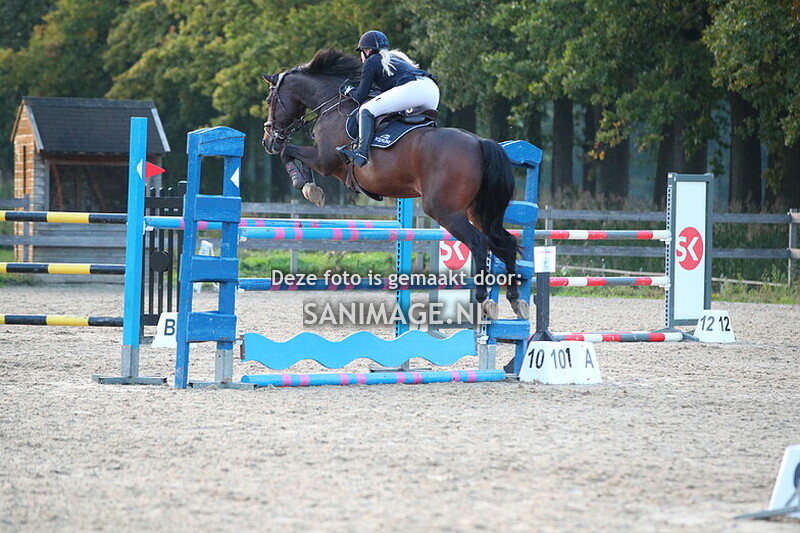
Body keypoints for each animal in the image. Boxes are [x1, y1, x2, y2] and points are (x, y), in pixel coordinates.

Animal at [261, 48, 526, 320]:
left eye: (270, 100)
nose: (267, 140)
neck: (332, 106)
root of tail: (481, 142)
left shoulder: (324, 160)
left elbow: (288, 152)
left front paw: (305, 185)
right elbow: (290, 154)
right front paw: (309, 186)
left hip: (445, 210)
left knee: (479, 242)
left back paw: (483, 298)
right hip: (477, 211)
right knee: (504, 243)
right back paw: (515, 300)